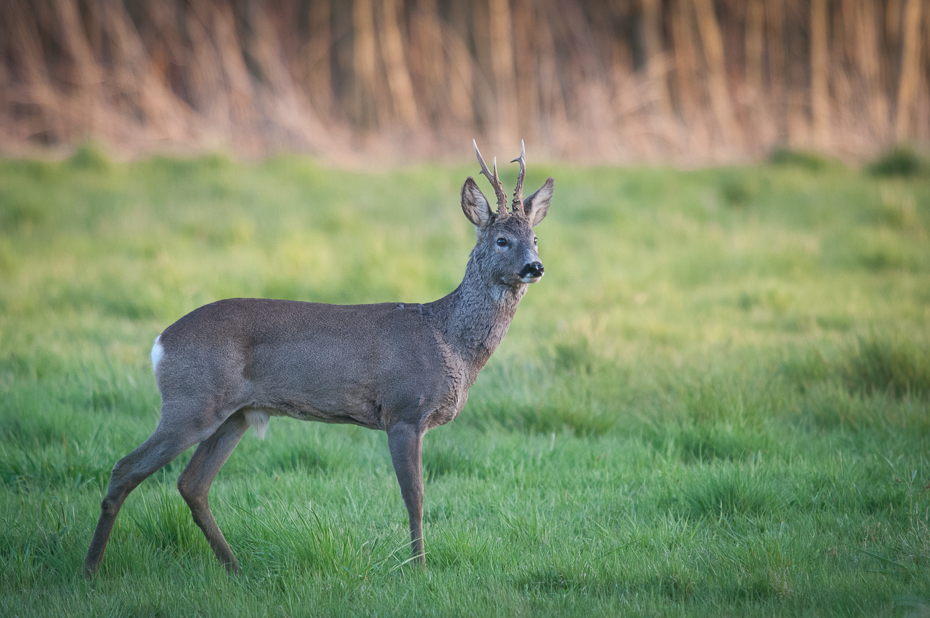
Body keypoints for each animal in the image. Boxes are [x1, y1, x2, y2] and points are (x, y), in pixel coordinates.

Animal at [83, 140, 552, 572]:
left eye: (534, 238)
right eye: (502, 240)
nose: (536, 266)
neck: (448, 340)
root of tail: (160, 342)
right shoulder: (403, 410)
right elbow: (414, 496)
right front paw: (418, 568)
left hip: (235, 413)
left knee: (192, 483)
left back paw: (235, 567)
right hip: (190, 401)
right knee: (125, 469)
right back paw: (91, 569)